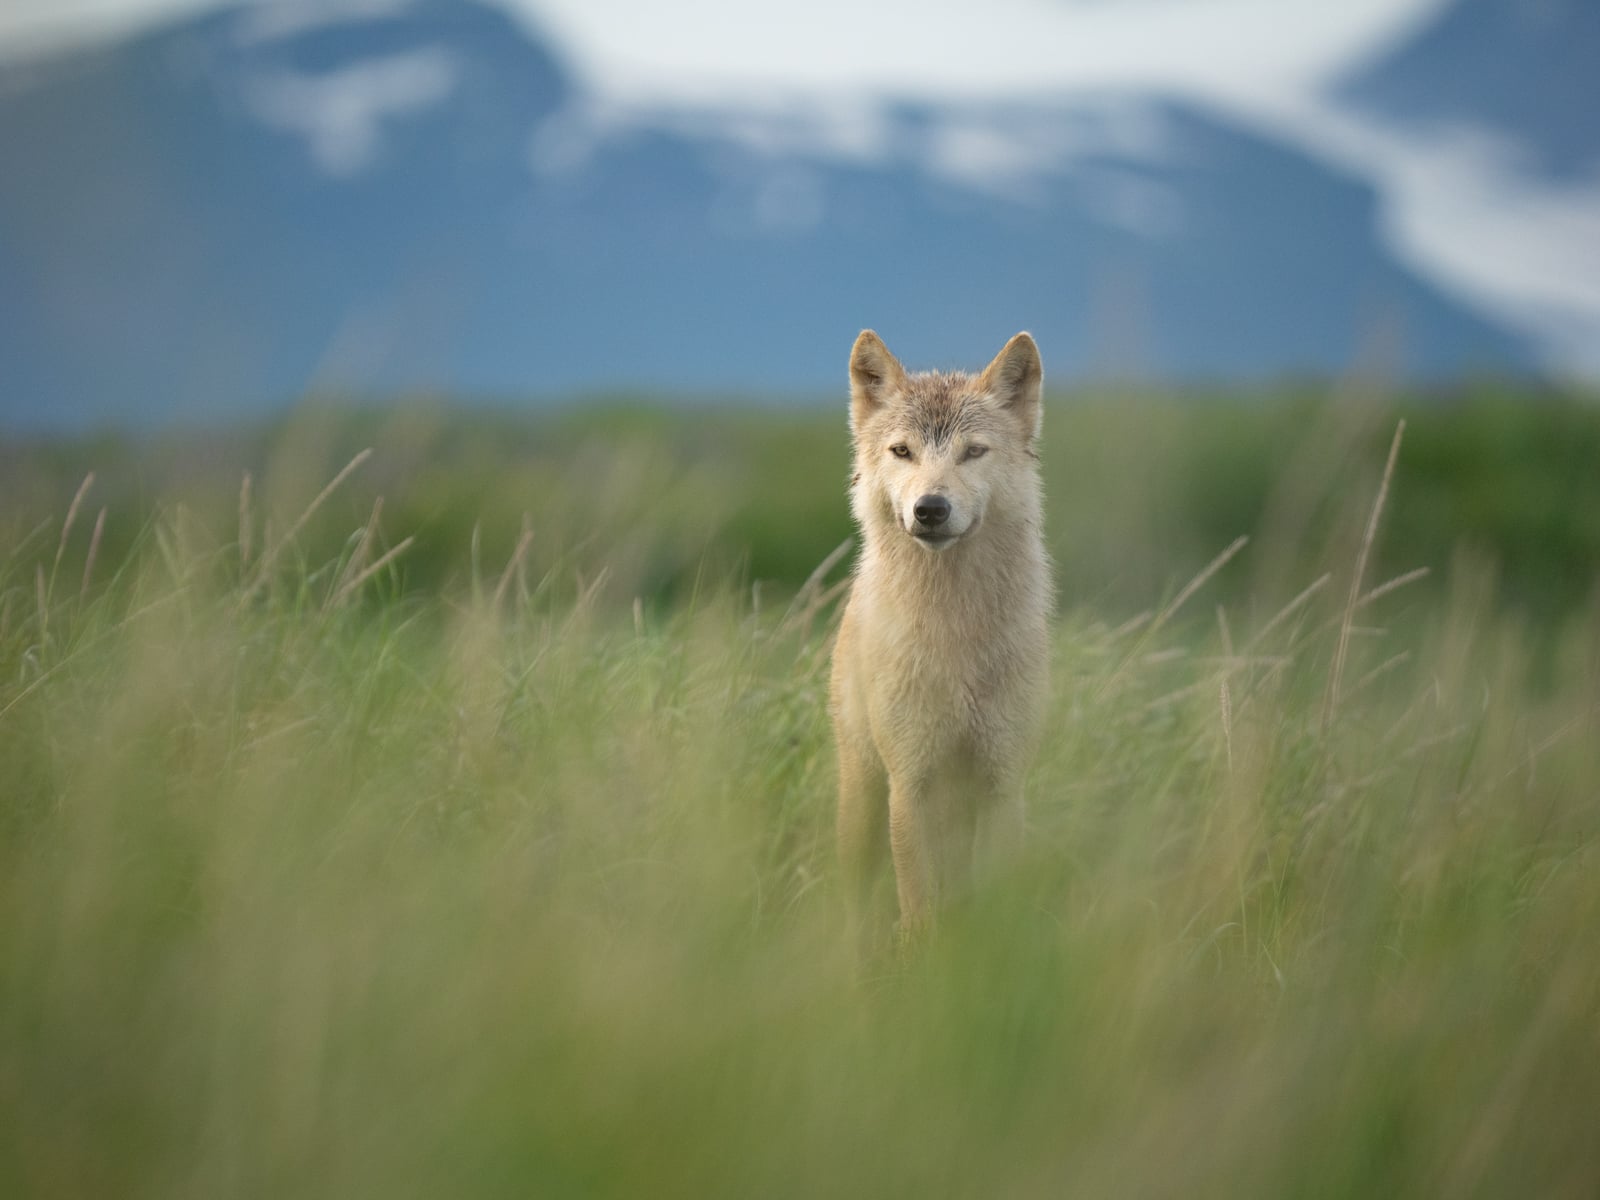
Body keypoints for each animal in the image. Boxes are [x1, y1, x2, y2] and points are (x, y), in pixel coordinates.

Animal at [830, 329, 1052, 951]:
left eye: (973, 452)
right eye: (902, 451)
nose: (930, 508)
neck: (956, 635)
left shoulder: (1004, 781)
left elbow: (995, 905)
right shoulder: (910, 781)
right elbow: (918, 905)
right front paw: (924, 960)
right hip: (862, 797)